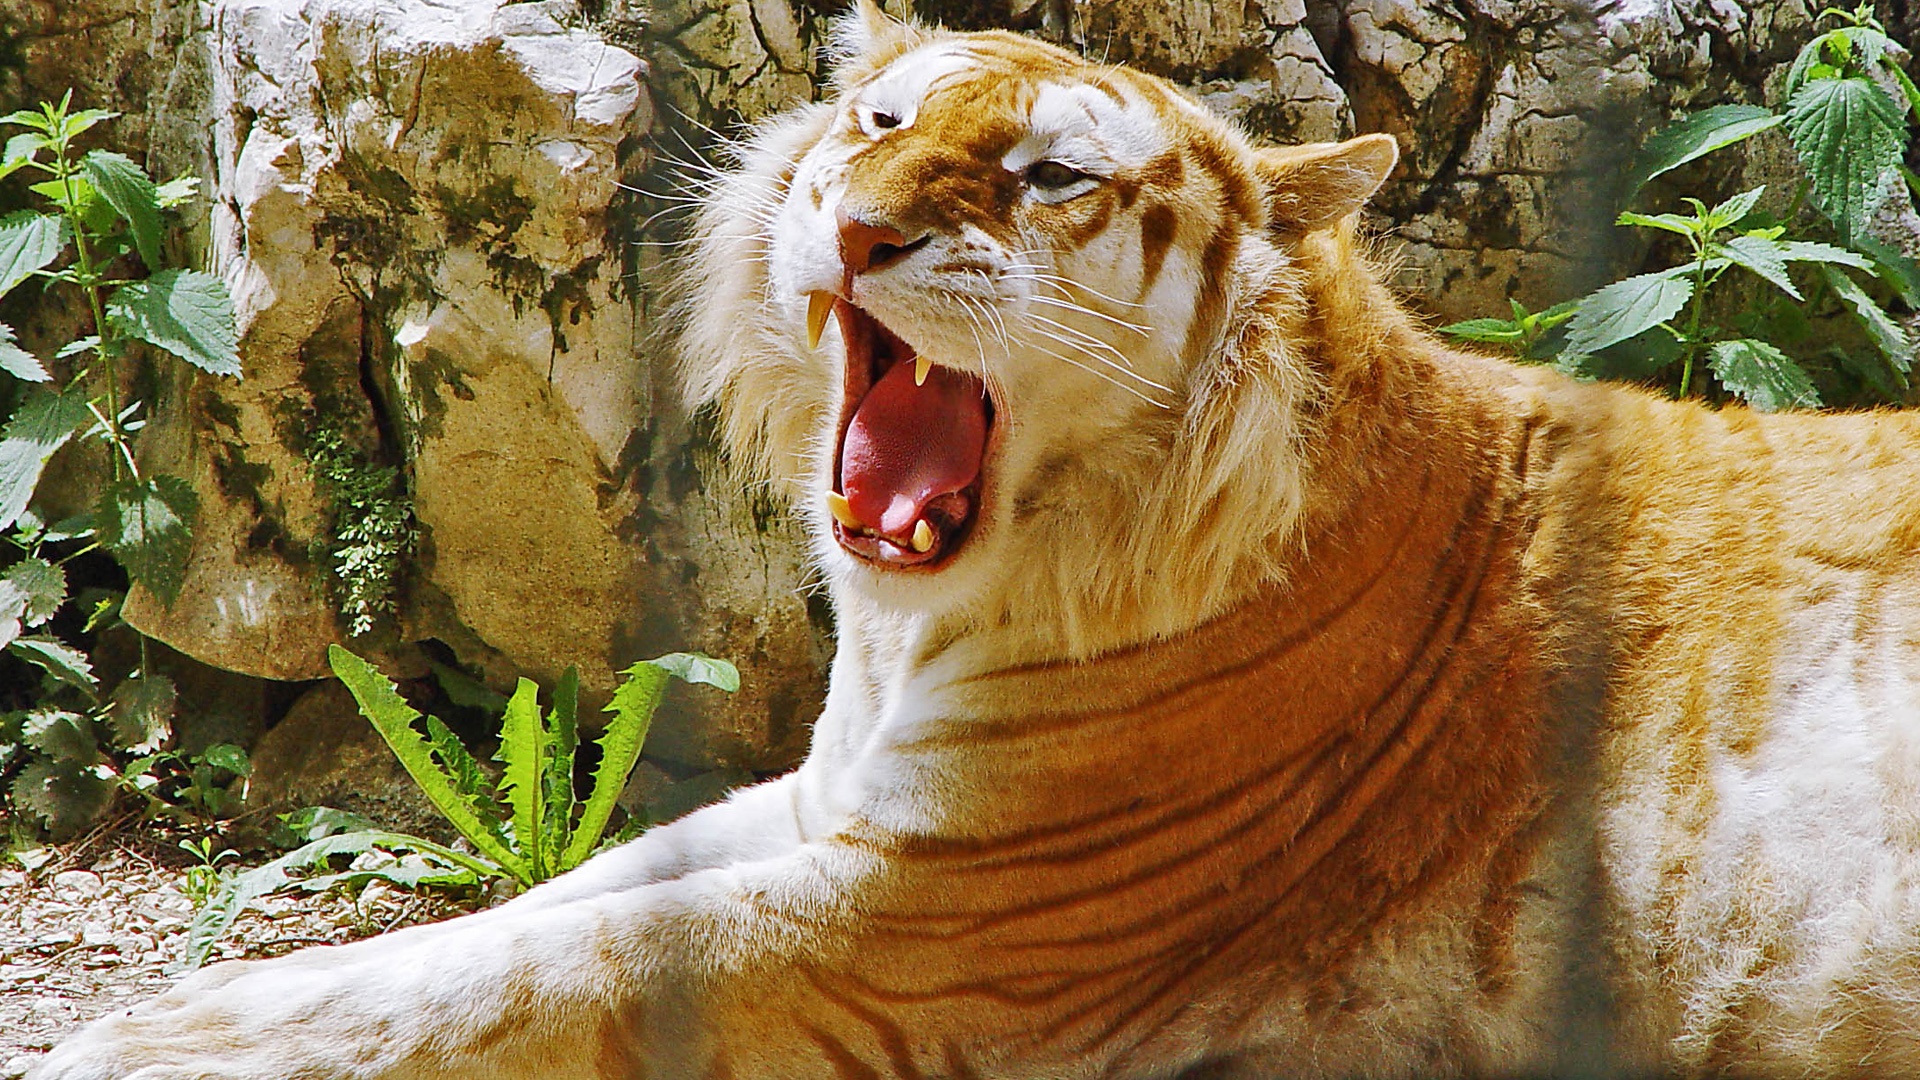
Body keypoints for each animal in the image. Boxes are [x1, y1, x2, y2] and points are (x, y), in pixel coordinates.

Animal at [33, 3, 1920, 1078]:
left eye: (1048, 178)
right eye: (880, 126)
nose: (863, 228)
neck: (921, 625)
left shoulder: (938, 915)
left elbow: (546, 970)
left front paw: (138, 1049)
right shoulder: (838, 808)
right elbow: (529, 916)